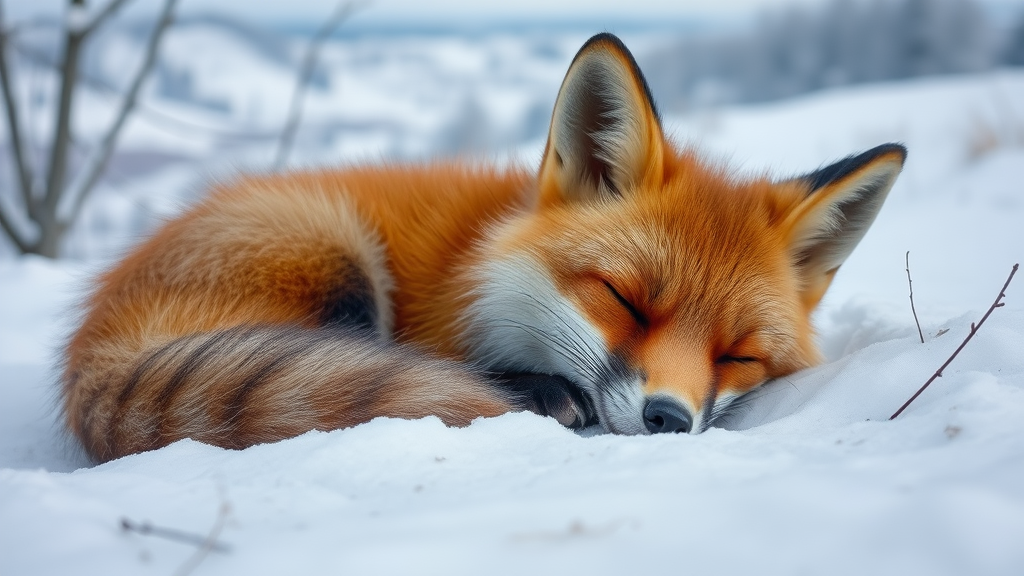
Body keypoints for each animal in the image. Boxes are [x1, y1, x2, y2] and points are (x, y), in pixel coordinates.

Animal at [61, 32, 905, 461]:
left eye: (738, 355)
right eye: (624, 300)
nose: (668, 418)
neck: (476, 255)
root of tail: (94, 333)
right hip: (336, 254)